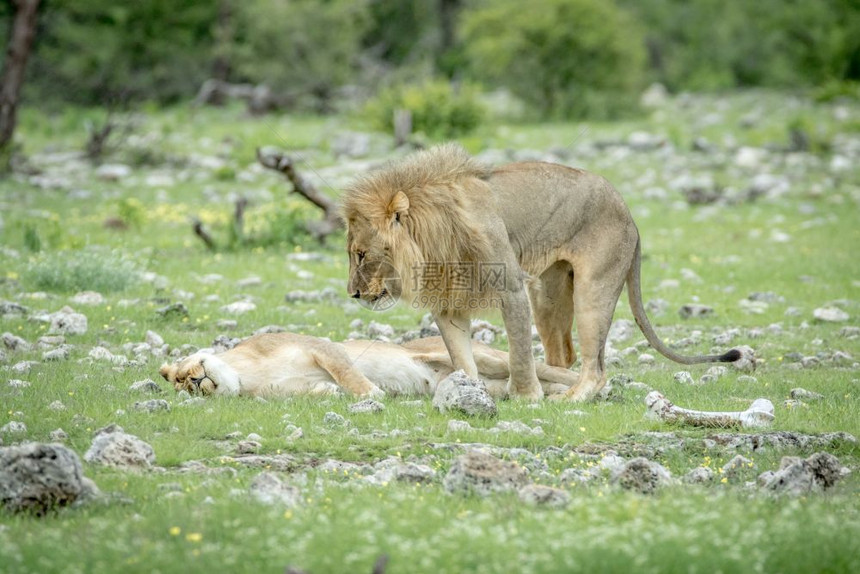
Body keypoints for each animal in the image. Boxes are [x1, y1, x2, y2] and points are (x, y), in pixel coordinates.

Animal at [340, 144, 740, 402]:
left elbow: (518, 350)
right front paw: (467, 390)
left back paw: (571, 398)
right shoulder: (450, 301)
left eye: (360, 254)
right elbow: (461, 356)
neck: (430, 238)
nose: (353, 294)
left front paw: (525, 397)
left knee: (596, 367)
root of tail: (630, 215)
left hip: (593, 289)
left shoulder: (511, 288)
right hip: (548, 296)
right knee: (564, 355)